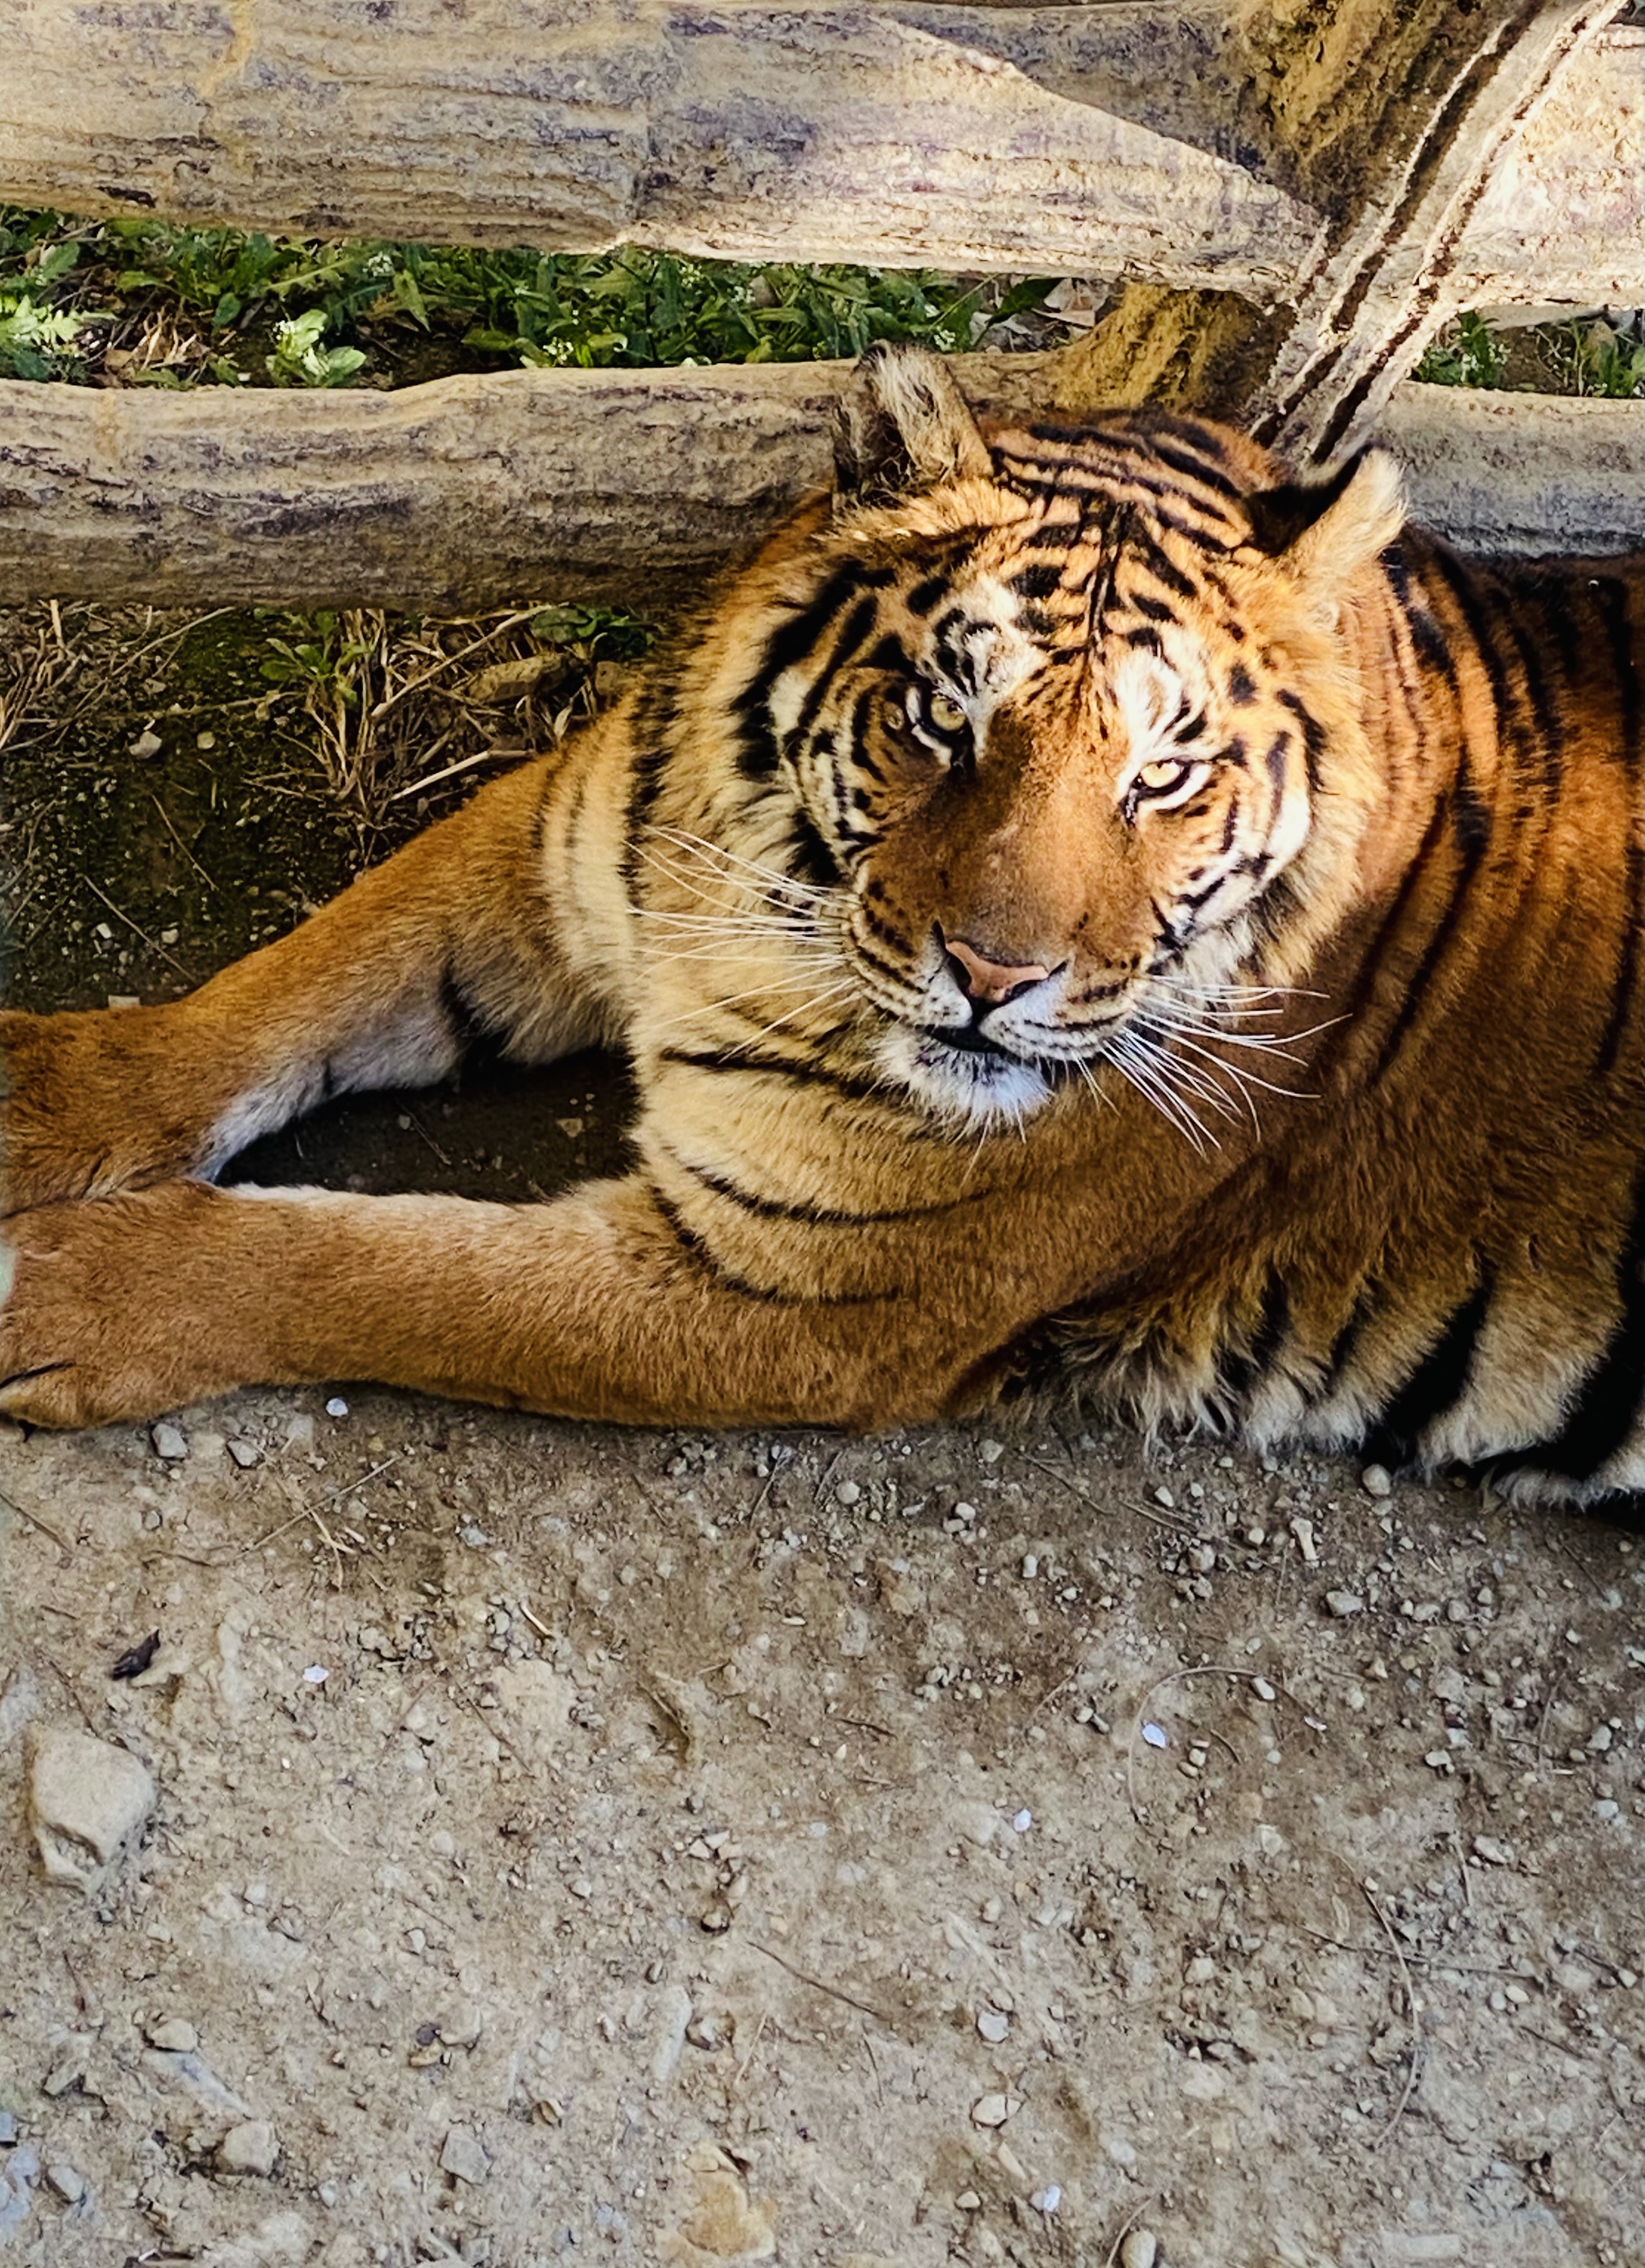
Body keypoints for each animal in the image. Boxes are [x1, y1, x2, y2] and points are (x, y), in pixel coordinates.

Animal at [3, 340, 1643, 1506]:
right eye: (941, 714)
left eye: (1164, 773)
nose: (994, 976)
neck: (760, 894)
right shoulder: (548, 859)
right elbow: (291, 984)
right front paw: (43, 1099)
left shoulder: (796, 1295)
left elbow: (385, 1270)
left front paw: (69, 1288)